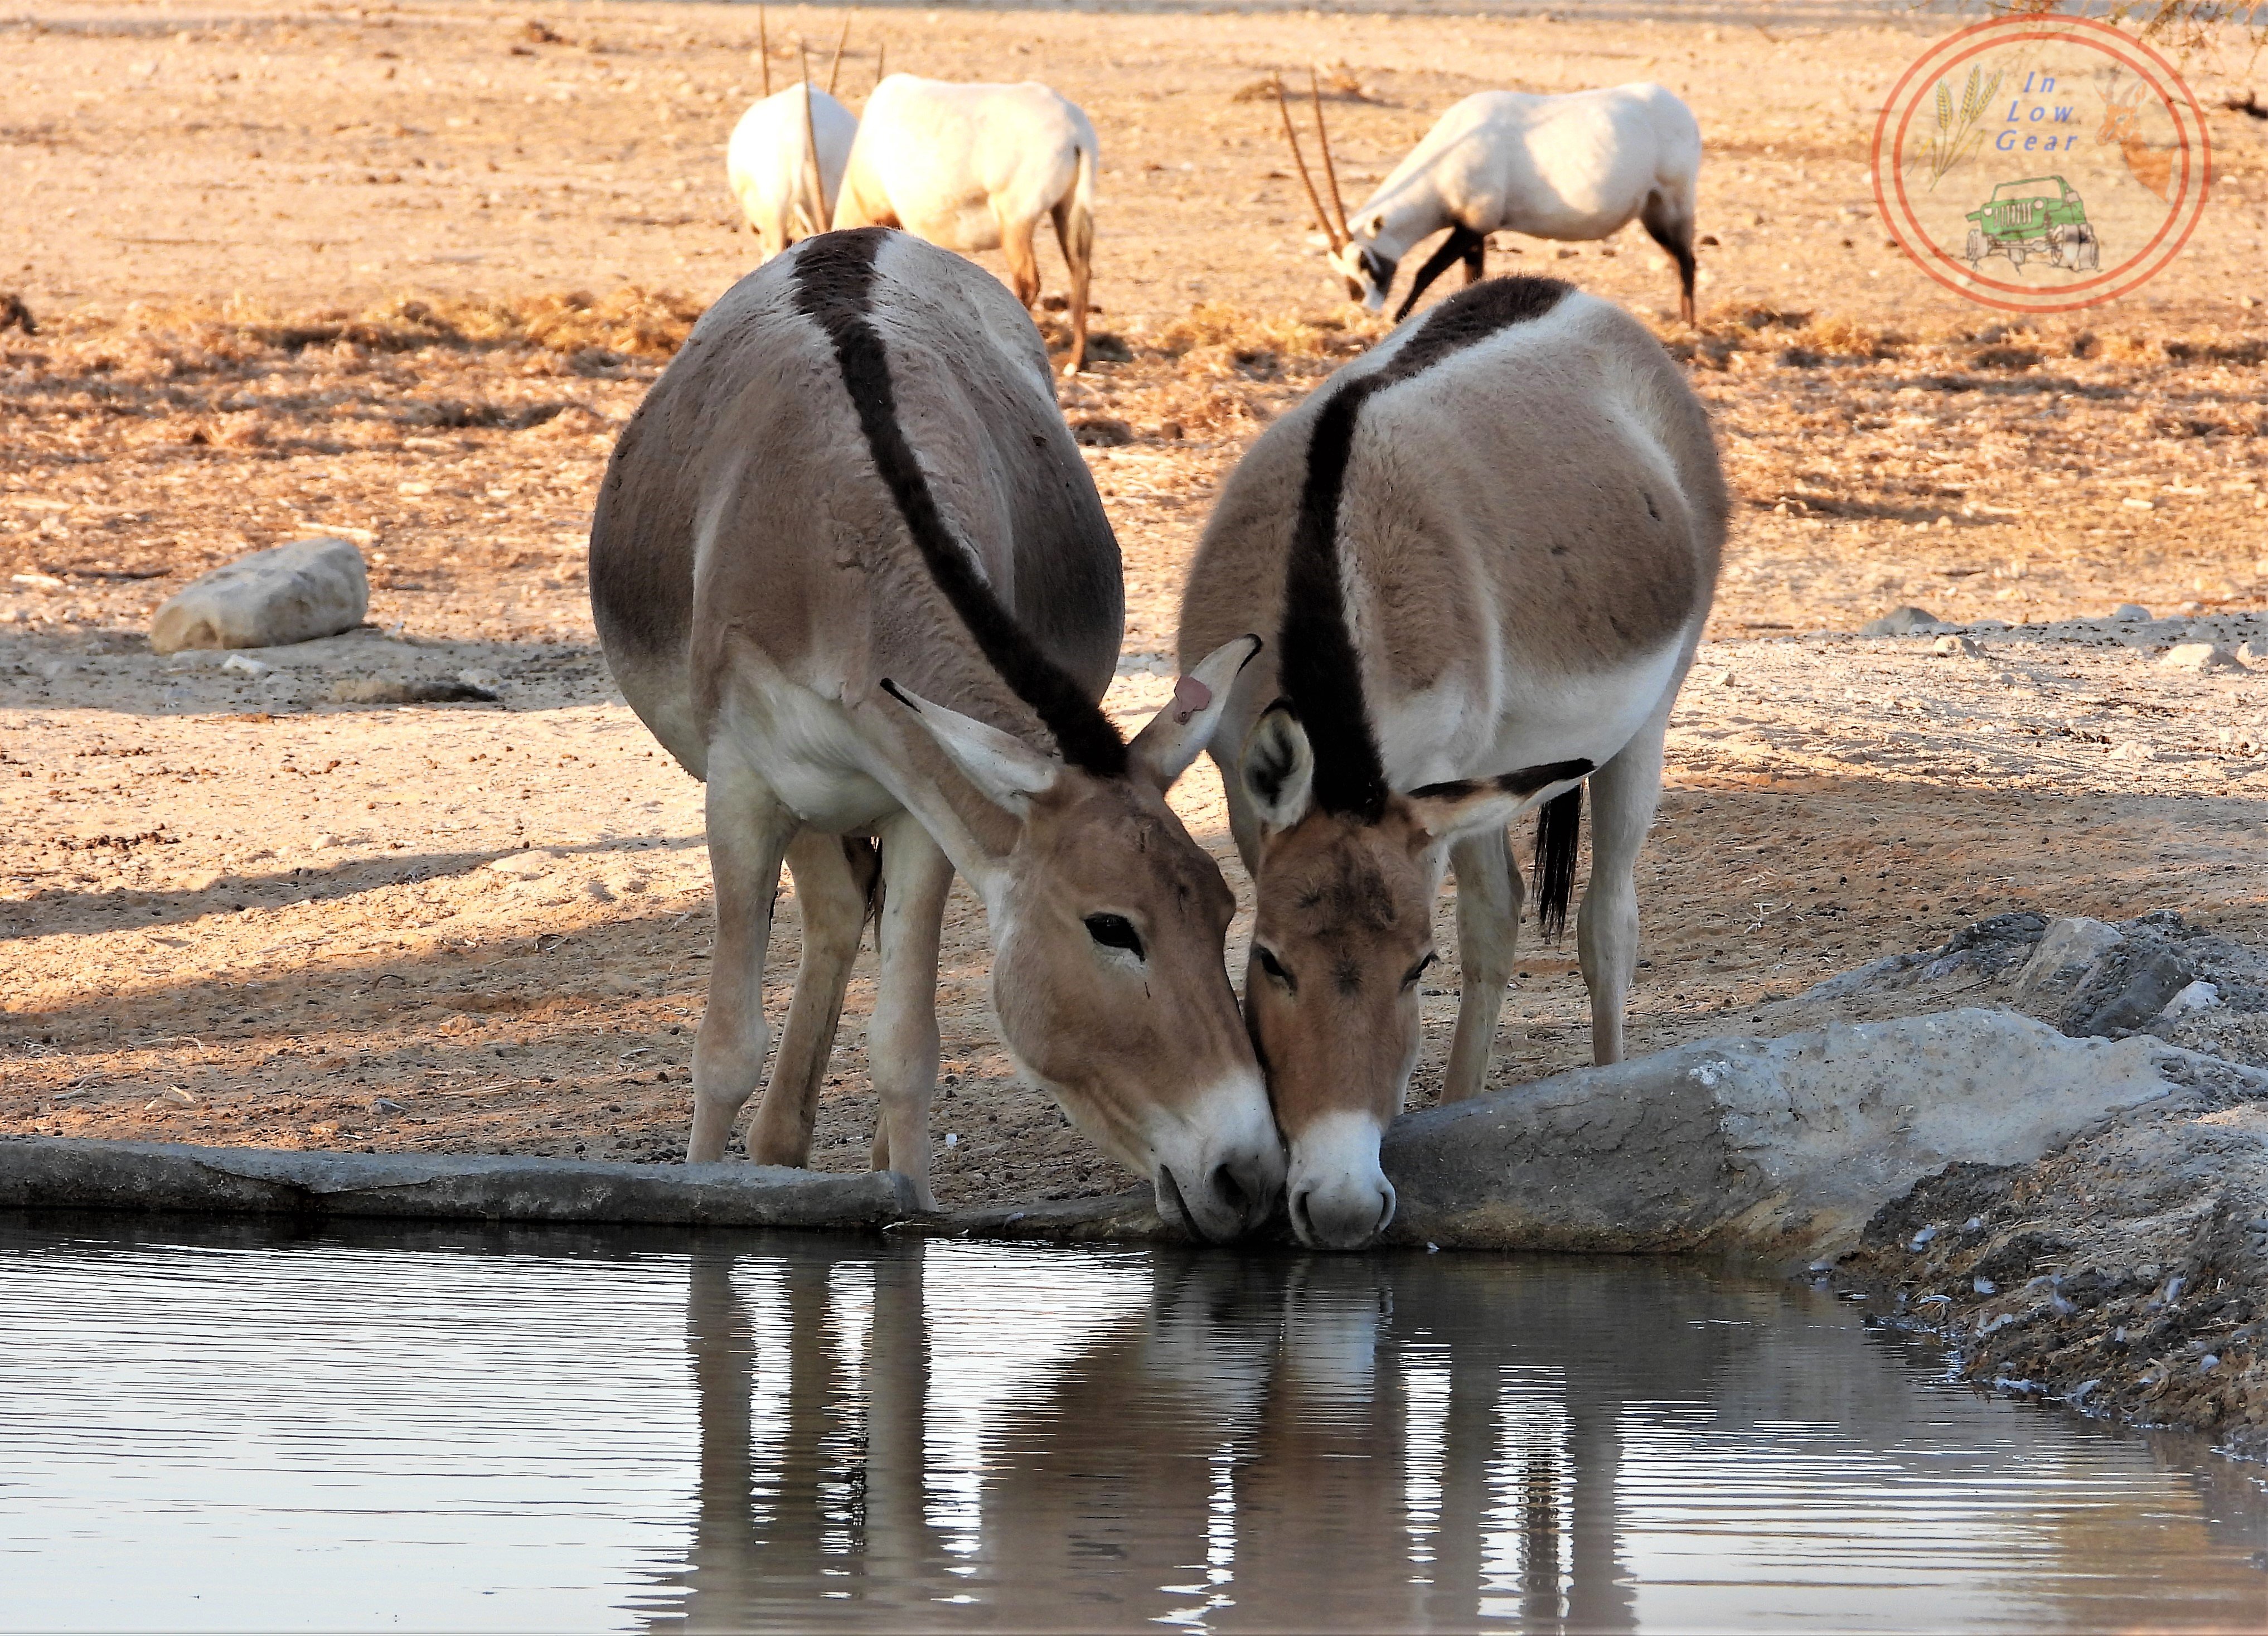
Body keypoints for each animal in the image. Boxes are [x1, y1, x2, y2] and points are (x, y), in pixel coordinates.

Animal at [594, 220, 1288, 1234]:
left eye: (1224, 910)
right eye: (1111, 927)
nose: (1251, 1178)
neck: (846, 547)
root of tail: (862, 232)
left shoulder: (921, 800)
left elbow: (904, 1050)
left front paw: (906, 1208)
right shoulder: (742, 790)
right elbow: (724, 1048)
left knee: (852, 927)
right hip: (801, 792)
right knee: (833, 913)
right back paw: (776, 1151)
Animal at [835, 73, 1097, 370]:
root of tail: (1075, 132)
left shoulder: (885, 216)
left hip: (1015, 221)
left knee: (1029, 283)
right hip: (1067, 209)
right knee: (1080, 271)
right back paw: (1076, 361)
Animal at [1179, 278, 1723, 1252]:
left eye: (1415, 969)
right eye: (1271, 962)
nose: (1344, 1208)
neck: (1329, 542)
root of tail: (1581, 299)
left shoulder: (1433, 789)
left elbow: (1487, 931)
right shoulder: (1251, 796)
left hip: (1639, 729)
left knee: (1600, 923)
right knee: (1510, 911)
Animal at [1279, 81, 1705, 324]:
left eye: (1365, 261)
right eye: (1339, 267)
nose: (1366, 308)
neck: (1447, 157)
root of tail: (1678, 108)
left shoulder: (1473, 225)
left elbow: (1426, 273)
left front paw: (1399, 320)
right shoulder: (1473, 231)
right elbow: (1472, 278)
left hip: (1671, 205)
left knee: (1686, 261)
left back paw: (1688, 326)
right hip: (1653, 211)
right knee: (1677, 259)